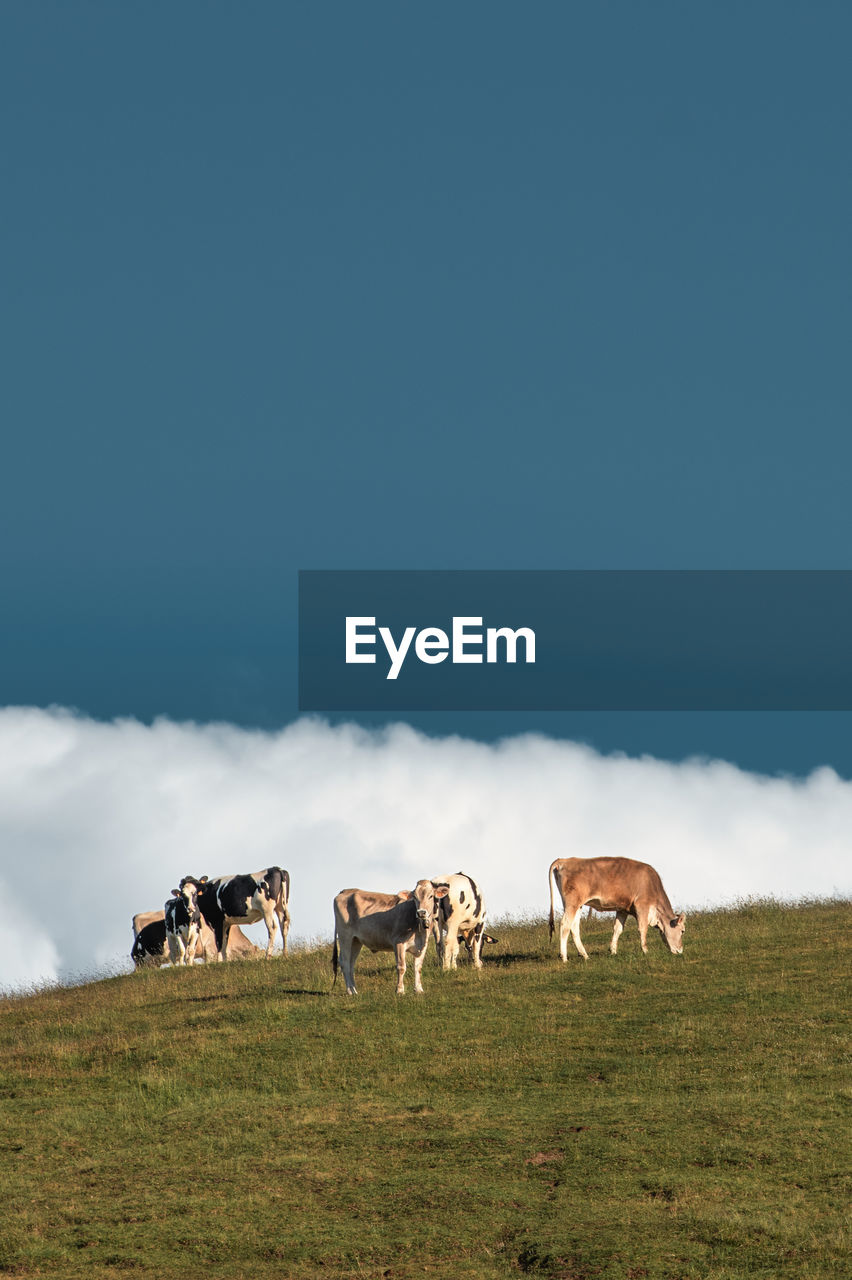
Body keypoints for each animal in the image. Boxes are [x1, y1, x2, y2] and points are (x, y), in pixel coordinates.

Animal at [550, 860, 685, 962]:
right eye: (682, 931)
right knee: (565, 924)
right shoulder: (642, 905)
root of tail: (564, 860)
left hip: (577, 905)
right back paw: (564, 957)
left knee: (574, 927)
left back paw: (585, 955)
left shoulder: (622, 909)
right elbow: (643, 929)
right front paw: (646, 951)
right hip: (571, 904)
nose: (680, 951)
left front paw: (613, 951)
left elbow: (618, 929)